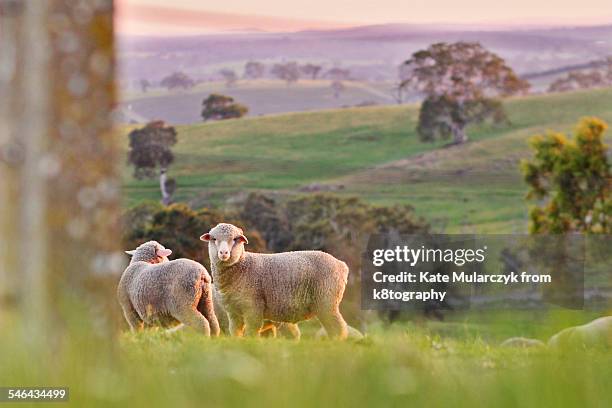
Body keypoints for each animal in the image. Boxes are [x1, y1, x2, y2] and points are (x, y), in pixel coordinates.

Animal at [202, 223, 350, 338]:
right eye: (213, 238)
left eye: (235, 239)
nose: (223, 253)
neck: (243, 266)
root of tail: (341, 265)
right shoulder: (233, 313)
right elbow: (235, 333)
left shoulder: (253, 307)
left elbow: (251, 332)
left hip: (327, 302)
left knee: (337, 328)